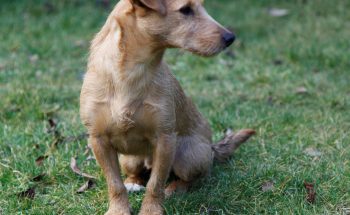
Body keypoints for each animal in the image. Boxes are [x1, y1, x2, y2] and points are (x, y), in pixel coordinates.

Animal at [79, 0, 254, 214]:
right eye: (185, 9)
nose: (231, 37)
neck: (132, 72)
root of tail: (212, 149)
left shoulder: (165, 139)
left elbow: (155, 184)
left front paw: (151, 210)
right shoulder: (99, 140)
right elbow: (115, 184)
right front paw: (118, 210)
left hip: (188, 156)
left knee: (193, 179)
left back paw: (175, 188)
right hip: (128, 160)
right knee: (135, 174)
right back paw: (133, 182)